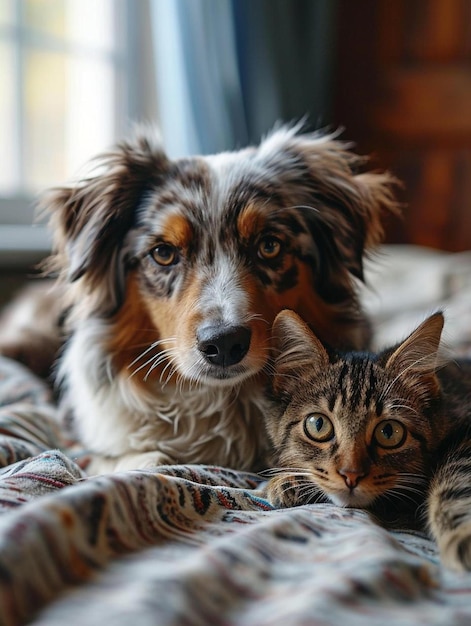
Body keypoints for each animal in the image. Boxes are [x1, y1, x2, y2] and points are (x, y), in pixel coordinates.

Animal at [266, 308, 471, 572]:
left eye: (389, 432)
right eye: (318, 425)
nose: (351, 475)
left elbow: (455, 482)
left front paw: (464, 536)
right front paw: (287, 482)